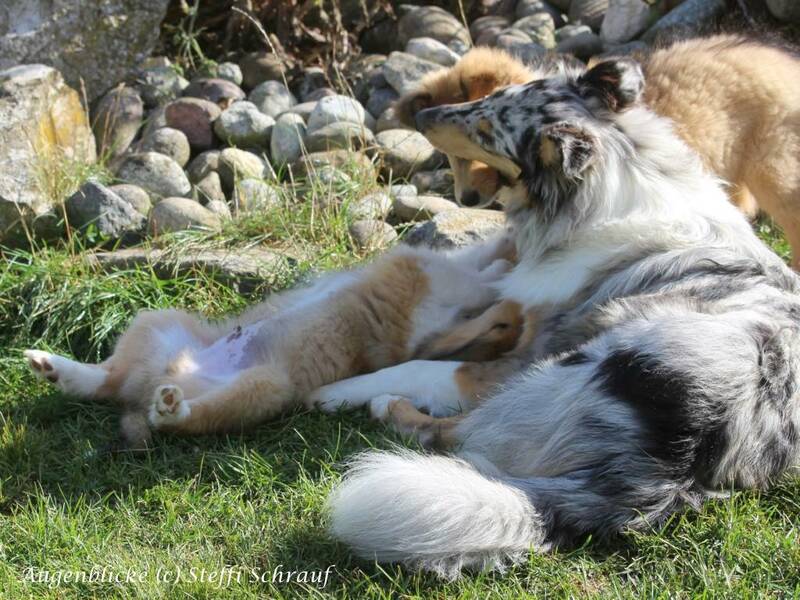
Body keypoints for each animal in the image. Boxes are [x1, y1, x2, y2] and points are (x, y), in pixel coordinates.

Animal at [24, 240, 519, 450]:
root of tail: (158, 381)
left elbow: (483, 283)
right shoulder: (440, 286)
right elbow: (483, 270)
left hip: (263, 388)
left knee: (172, 415)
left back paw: (164, 406)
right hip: (157, 325)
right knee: (106, 380)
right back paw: (54, 366)